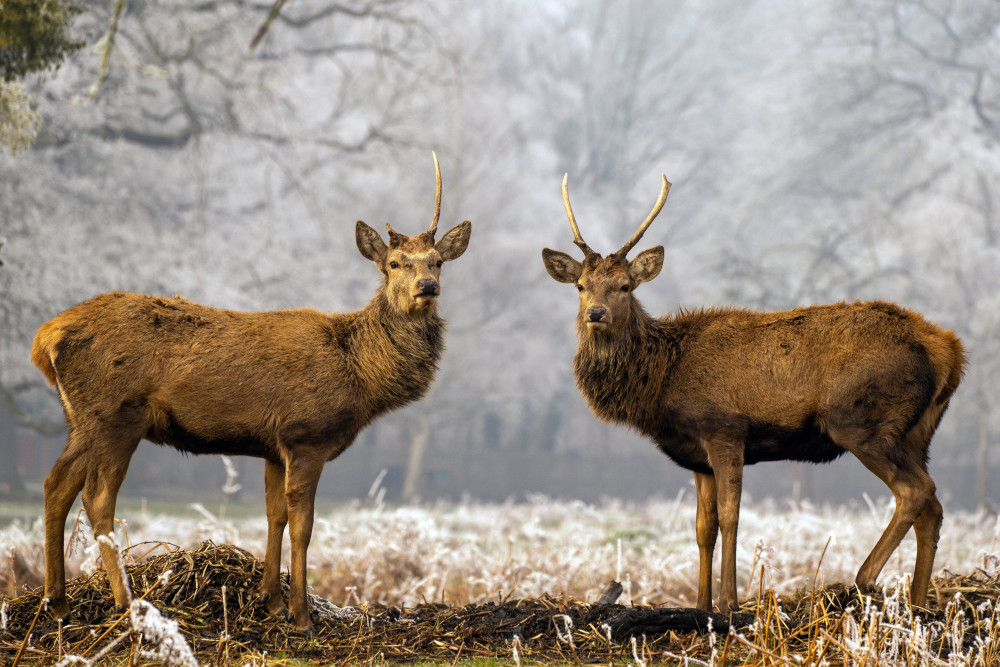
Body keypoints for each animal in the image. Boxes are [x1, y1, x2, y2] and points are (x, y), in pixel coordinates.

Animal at [30, 154, 468, 636]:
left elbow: (274, 515)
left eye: (438, 262)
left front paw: (271, 601)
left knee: (55, 484)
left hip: (81, 419)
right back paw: (128, 605)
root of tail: (45, 339)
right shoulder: (305, 434)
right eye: (394, 262)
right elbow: (303, 525)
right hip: (115, 415)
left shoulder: (273, 447)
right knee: (97, 498)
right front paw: (301, 615)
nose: (427, 287)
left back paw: (58, 604)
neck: (360, 377)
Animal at [544, 175, 964, 612]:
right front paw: (702, 605)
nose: (595, 313)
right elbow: (703, 527)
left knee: (915, 491)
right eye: (580, 286)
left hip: (864, 422)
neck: (662, 382)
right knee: (933, 505)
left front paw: (730, 601)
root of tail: (948, 348)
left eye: (625, 286)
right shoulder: (696, 455)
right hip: (917, 432)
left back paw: (865, 580)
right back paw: (919, 603)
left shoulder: (724, 429)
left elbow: (731, 516)